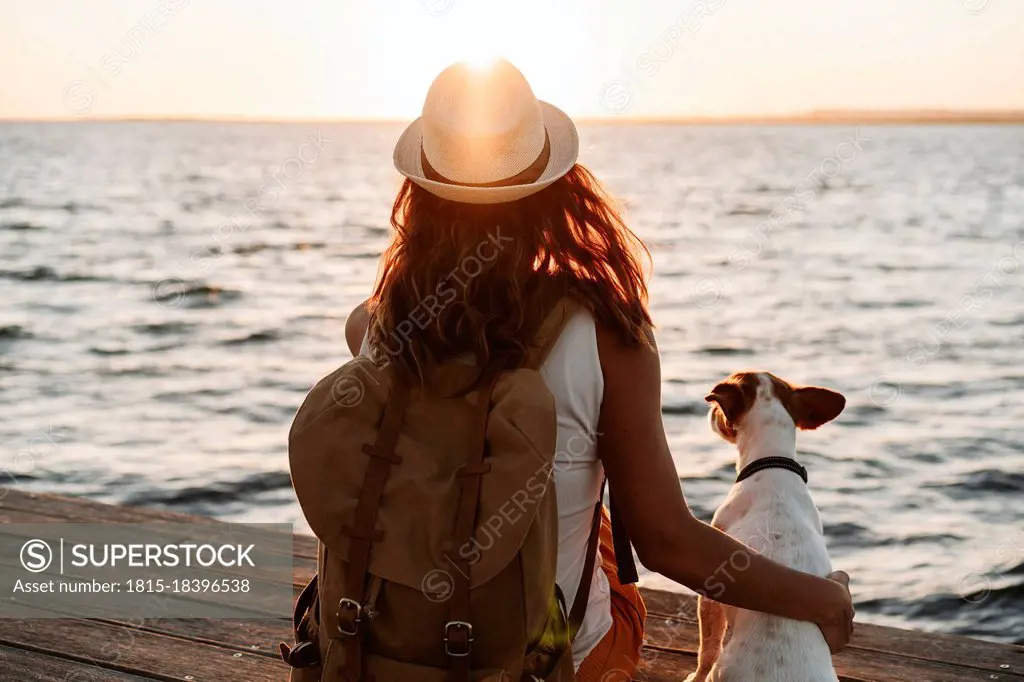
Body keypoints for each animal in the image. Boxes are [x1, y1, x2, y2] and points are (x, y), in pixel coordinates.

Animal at [684, 372, 843, 679]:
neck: (773, 462)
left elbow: (707, 645)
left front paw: (694, 676)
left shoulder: (711, 593)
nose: (710, 413)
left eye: (718, 409)